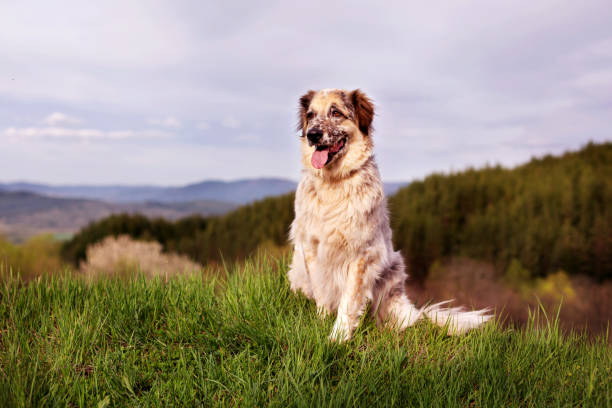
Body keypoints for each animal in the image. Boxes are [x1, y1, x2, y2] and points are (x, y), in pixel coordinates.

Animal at [288, 88, 492, 342]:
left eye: (335, 113)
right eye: (311, 115)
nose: (313, 135)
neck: (333, 183)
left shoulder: (361, 254)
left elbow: (349, 301)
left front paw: (338, 338)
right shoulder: (311, 247)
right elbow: (322, 292)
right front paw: (322, 323)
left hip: (392, 272)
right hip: (297, 270)